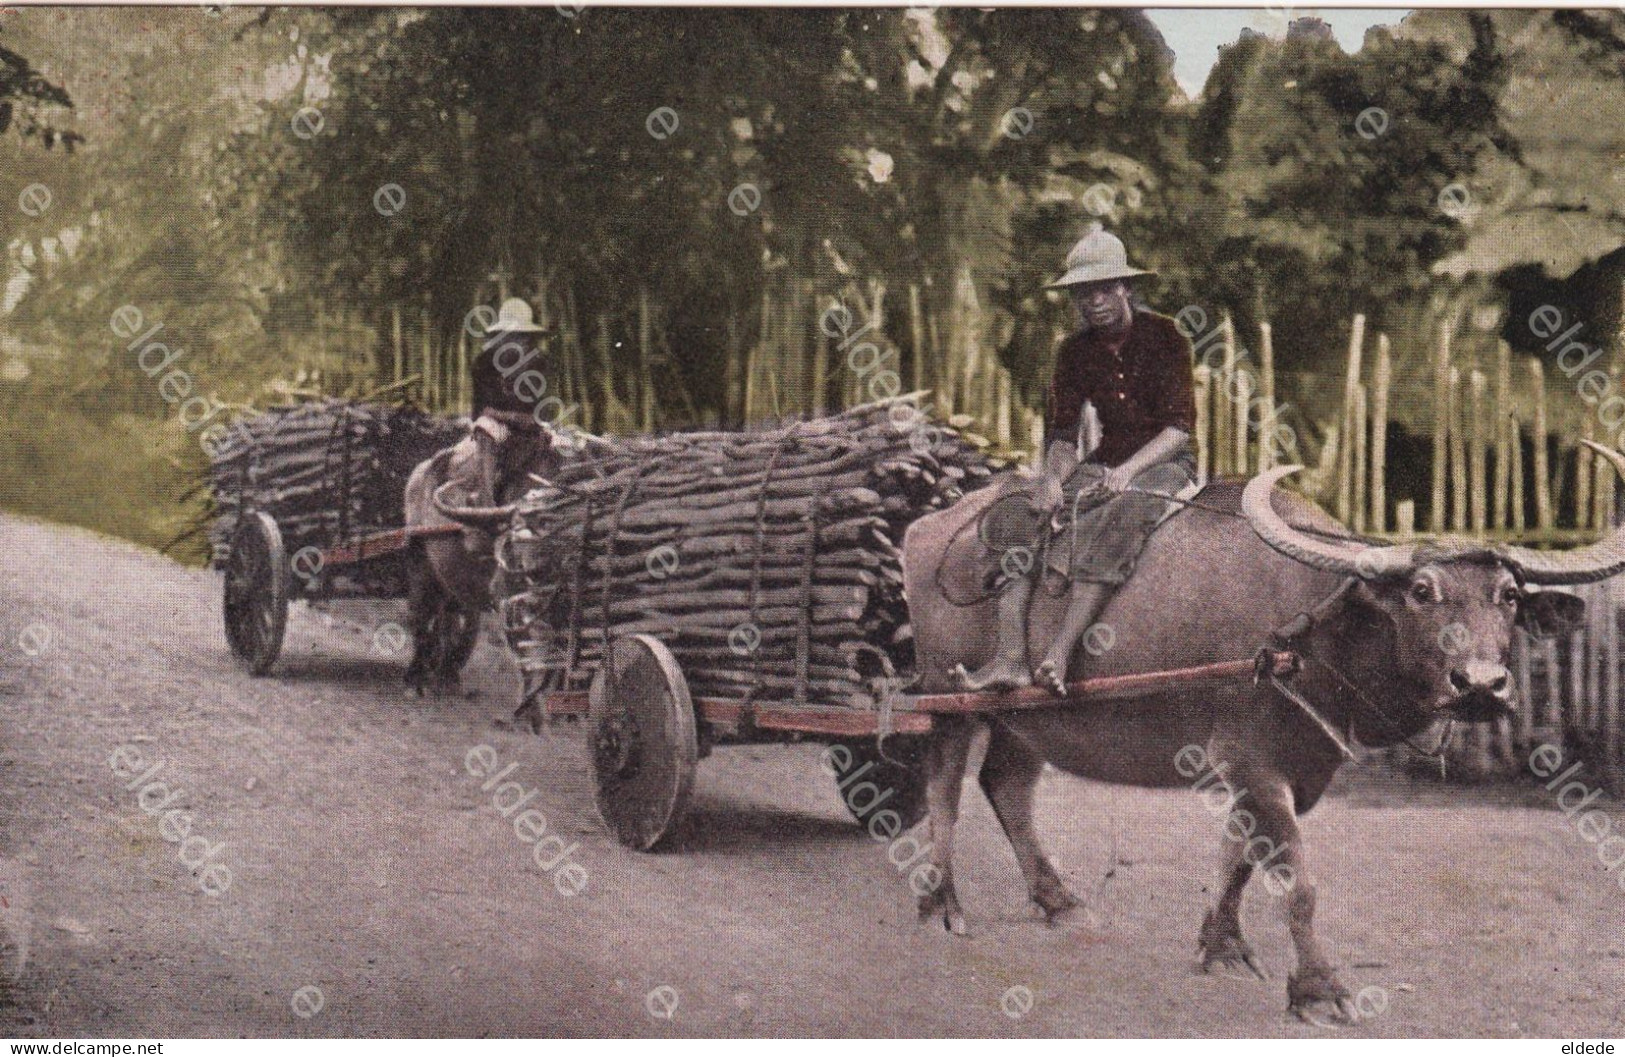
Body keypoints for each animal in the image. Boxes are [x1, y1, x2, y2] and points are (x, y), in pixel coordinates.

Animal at [897, 445, 1618, 1021]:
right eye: (1421, 590)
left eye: (1508, 596)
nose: (1480, 684)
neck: (1313, 630)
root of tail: (928, 527)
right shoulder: (1250, 761)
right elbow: (1296, 881)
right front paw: (1318, 989)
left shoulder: (1291, 769)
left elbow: (1240, 857)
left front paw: (1221, 946)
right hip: (946, 694)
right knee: (943, 791)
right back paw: (939, 907)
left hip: (1027, 718)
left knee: (1007, 785)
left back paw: (1059, 901)